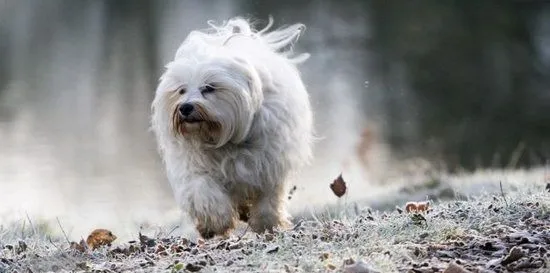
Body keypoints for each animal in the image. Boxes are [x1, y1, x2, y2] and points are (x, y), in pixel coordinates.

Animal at [151, 17, 314, 238]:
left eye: (209, 88)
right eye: (181, 90)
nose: (185, 107)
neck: (222, 138)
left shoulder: (270, 164)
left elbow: (268, 198)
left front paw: (267, 223)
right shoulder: (193, 166)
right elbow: (203, 191)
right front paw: (216, 222)